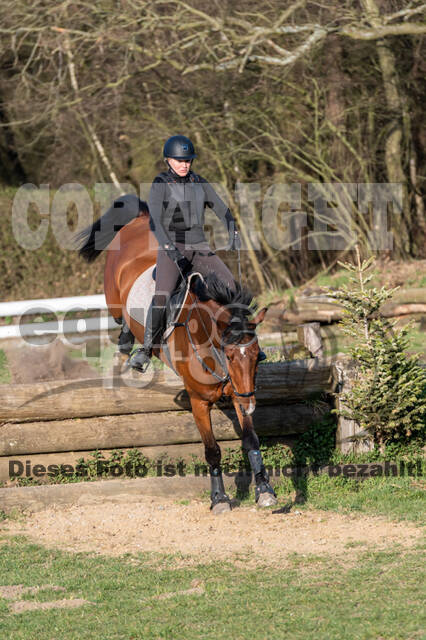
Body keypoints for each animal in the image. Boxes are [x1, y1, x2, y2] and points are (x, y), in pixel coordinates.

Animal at [77, 192, 278, 512]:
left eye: (256, 354)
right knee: (122, 325)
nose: (250, 406)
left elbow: (251, 440)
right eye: (230, 355)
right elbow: (212, 450)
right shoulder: (198, 401)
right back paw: (130, 357)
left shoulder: (238, 391)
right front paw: (219, 499)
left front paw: (264, 489)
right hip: (113, 298)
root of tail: (140, 219)